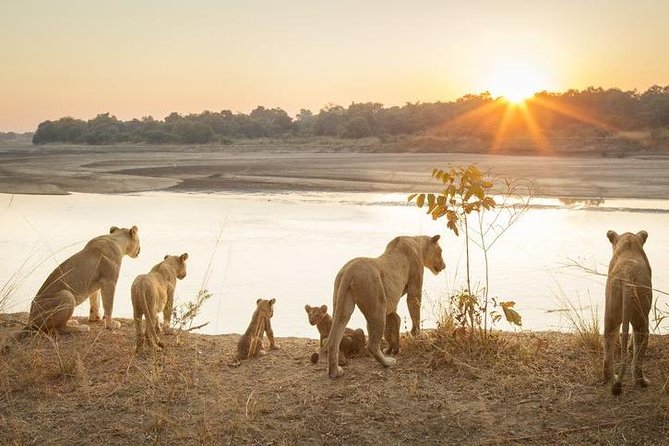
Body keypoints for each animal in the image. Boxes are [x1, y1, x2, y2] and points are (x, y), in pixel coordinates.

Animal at [326, 235, 445, 378]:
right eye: (440, 251)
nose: (444, 266)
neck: (418, 243)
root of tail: (350, 270)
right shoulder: (414, 288)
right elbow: (414, 312)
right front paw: (417, 335)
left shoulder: (391, 301)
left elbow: (392, 323)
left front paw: (393, 348)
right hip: (377, 306)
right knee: (372, 344)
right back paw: (388, 362)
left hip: (343, 306)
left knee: (333, 341)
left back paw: (335, 372)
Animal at [603, 230, 652, 395]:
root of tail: (628, 275)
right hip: (642, 318)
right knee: (639, 349)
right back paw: (642, 382)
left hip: (611, 312)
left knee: (608, 344)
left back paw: (611, 380)